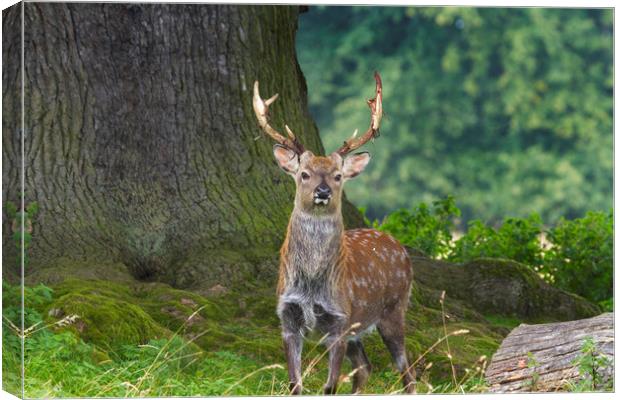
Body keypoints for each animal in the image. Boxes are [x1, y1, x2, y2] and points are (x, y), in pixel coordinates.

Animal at [252, 72, 416, 394]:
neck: (311, 284)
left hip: (393, 309)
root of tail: (400, 247)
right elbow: (295, 385)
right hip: (359, 330)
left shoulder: (339, 320)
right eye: (304, 174)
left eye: (337, 175)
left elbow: (329, 387)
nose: (323, 191)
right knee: (365, 367)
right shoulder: (287, 319)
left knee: (408, 372)